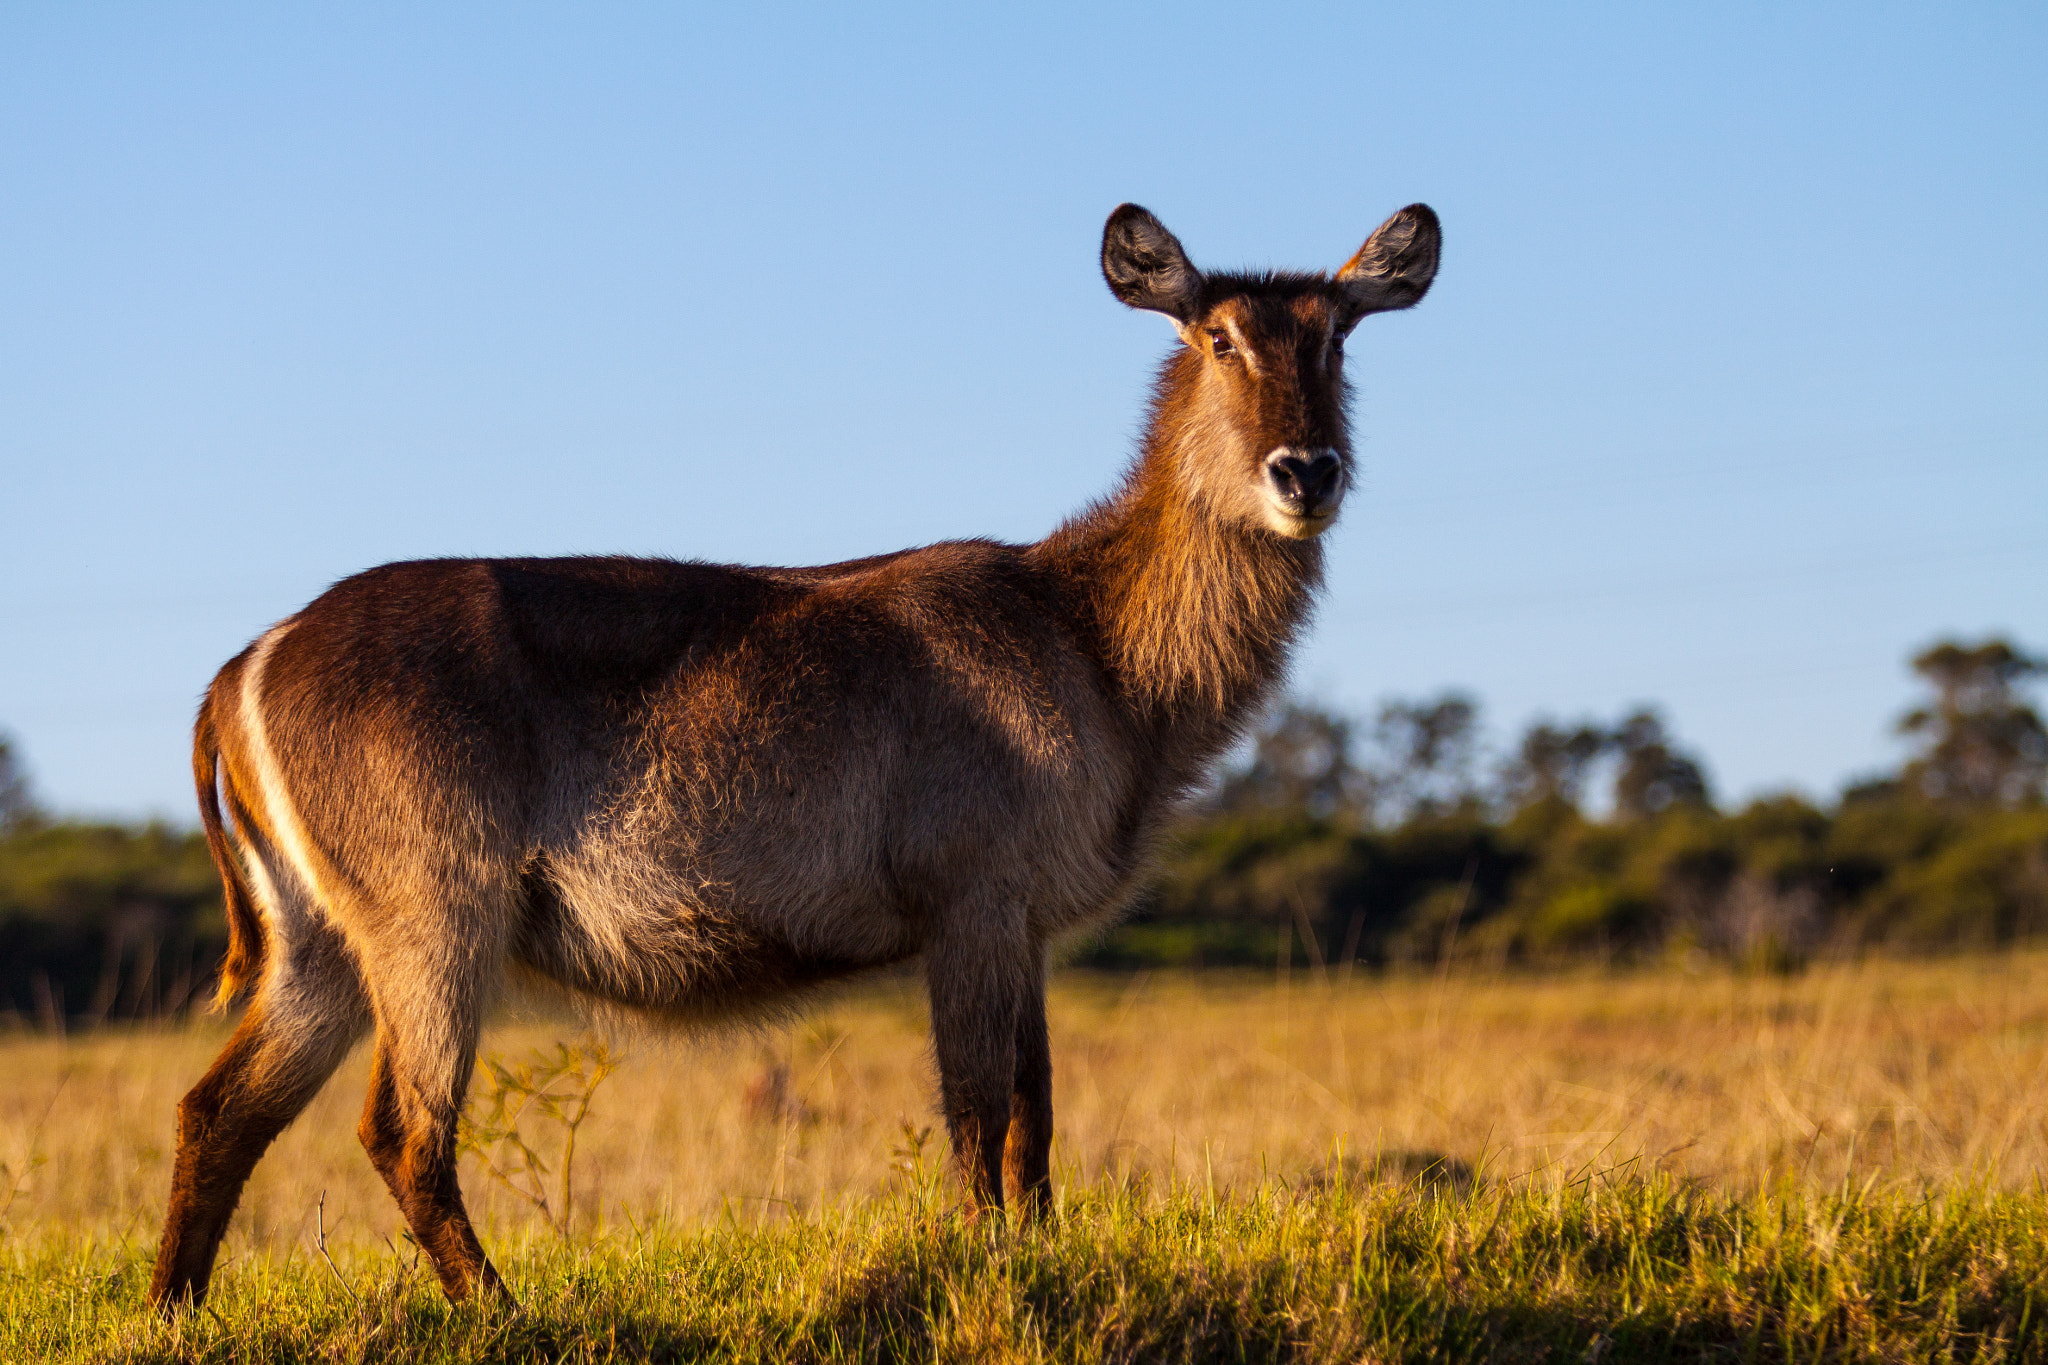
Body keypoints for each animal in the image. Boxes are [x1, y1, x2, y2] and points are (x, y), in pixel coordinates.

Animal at [148, 197, 1441, 1309]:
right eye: (1218, 336)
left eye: (1335, 337)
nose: (1304, 471)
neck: (1087, 634)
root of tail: (246, 662)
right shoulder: (972, 901)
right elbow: (979, 1114)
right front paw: (983, 1273)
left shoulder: (1022, 924)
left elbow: (1035, 1120)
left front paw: (1036, 1261)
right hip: (435, 916)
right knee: (402, 1131)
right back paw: (503, 1312)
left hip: (319, 942)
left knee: (218, 1109)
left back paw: (176, 1312)